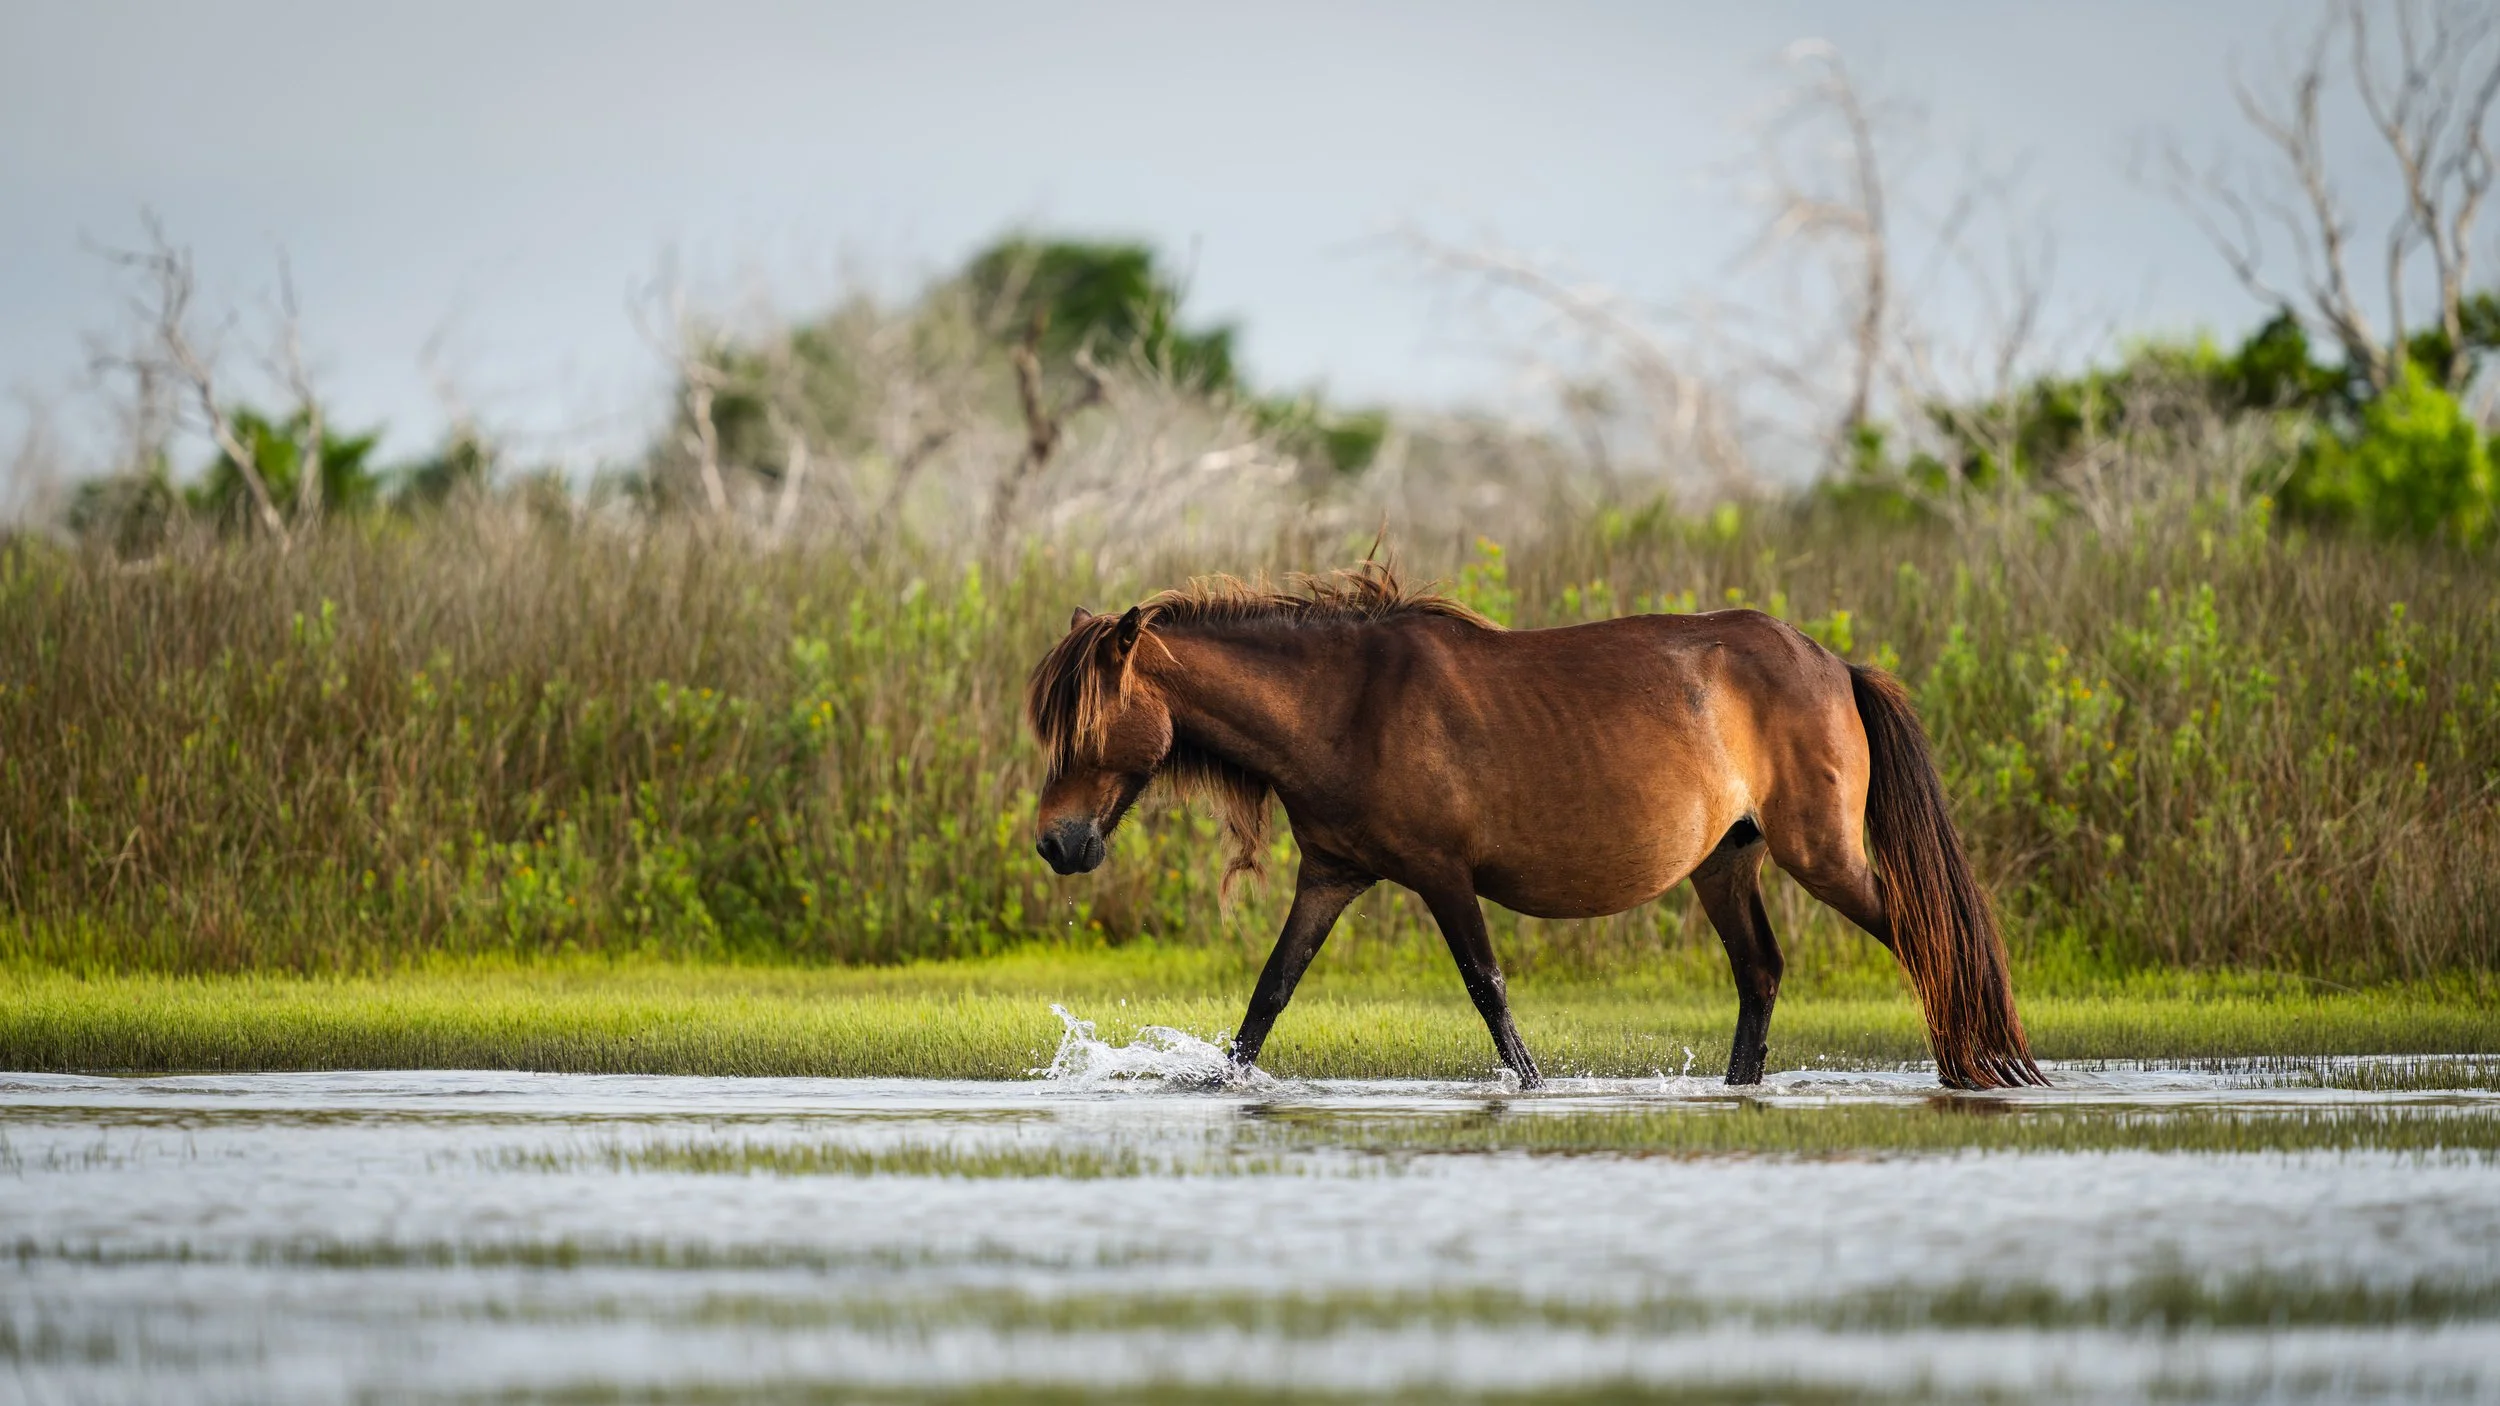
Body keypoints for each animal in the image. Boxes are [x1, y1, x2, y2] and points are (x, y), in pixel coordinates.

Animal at [1023, 562, 2043, 1091]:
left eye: (1083, 728)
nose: (1056, 843)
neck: (1343, 704)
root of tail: (1834, 663)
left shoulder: (1443, 874)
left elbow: (1489, 990)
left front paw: (1535, 1088)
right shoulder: (1331, 875)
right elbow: (1266, 999)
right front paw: (1216, 1086)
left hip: (1822, 853)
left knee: (1921, 933)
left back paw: (1980, 1065)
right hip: (1727, 863)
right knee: (1760, 974)